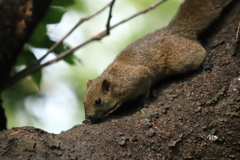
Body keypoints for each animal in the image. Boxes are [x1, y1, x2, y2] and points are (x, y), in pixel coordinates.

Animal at [81, 0, 232, 124]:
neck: (116, 82)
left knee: (198, 51)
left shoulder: (139, 76)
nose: (88, 116)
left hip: (180, 60)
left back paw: (205, 60)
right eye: (83, 100)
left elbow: (146, 87)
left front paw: (145, 100)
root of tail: (177, 31)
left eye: (98, 101)